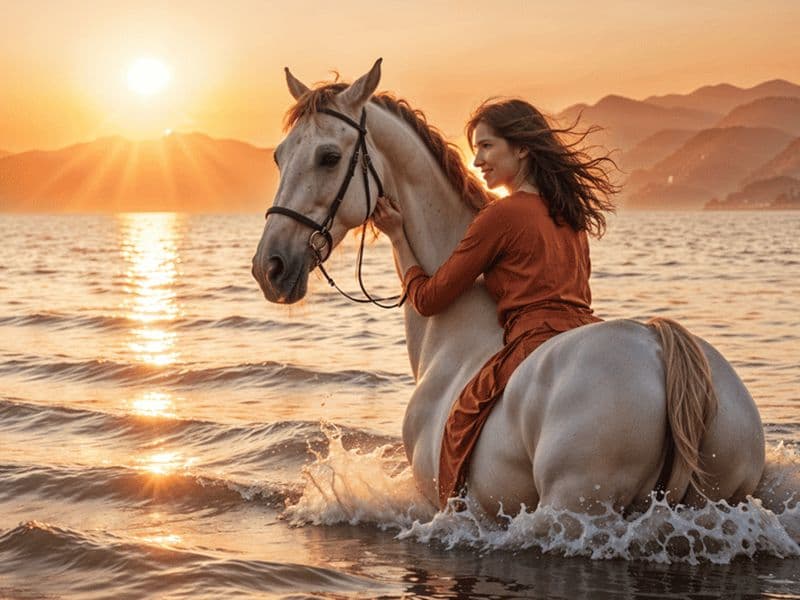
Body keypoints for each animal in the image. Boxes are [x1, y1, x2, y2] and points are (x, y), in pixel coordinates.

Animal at [252, 59, 766, 518]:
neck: (454, 336)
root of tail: (662, 348)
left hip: (574, 503)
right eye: (278, 156)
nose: (269, 267)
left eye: (328, 157)